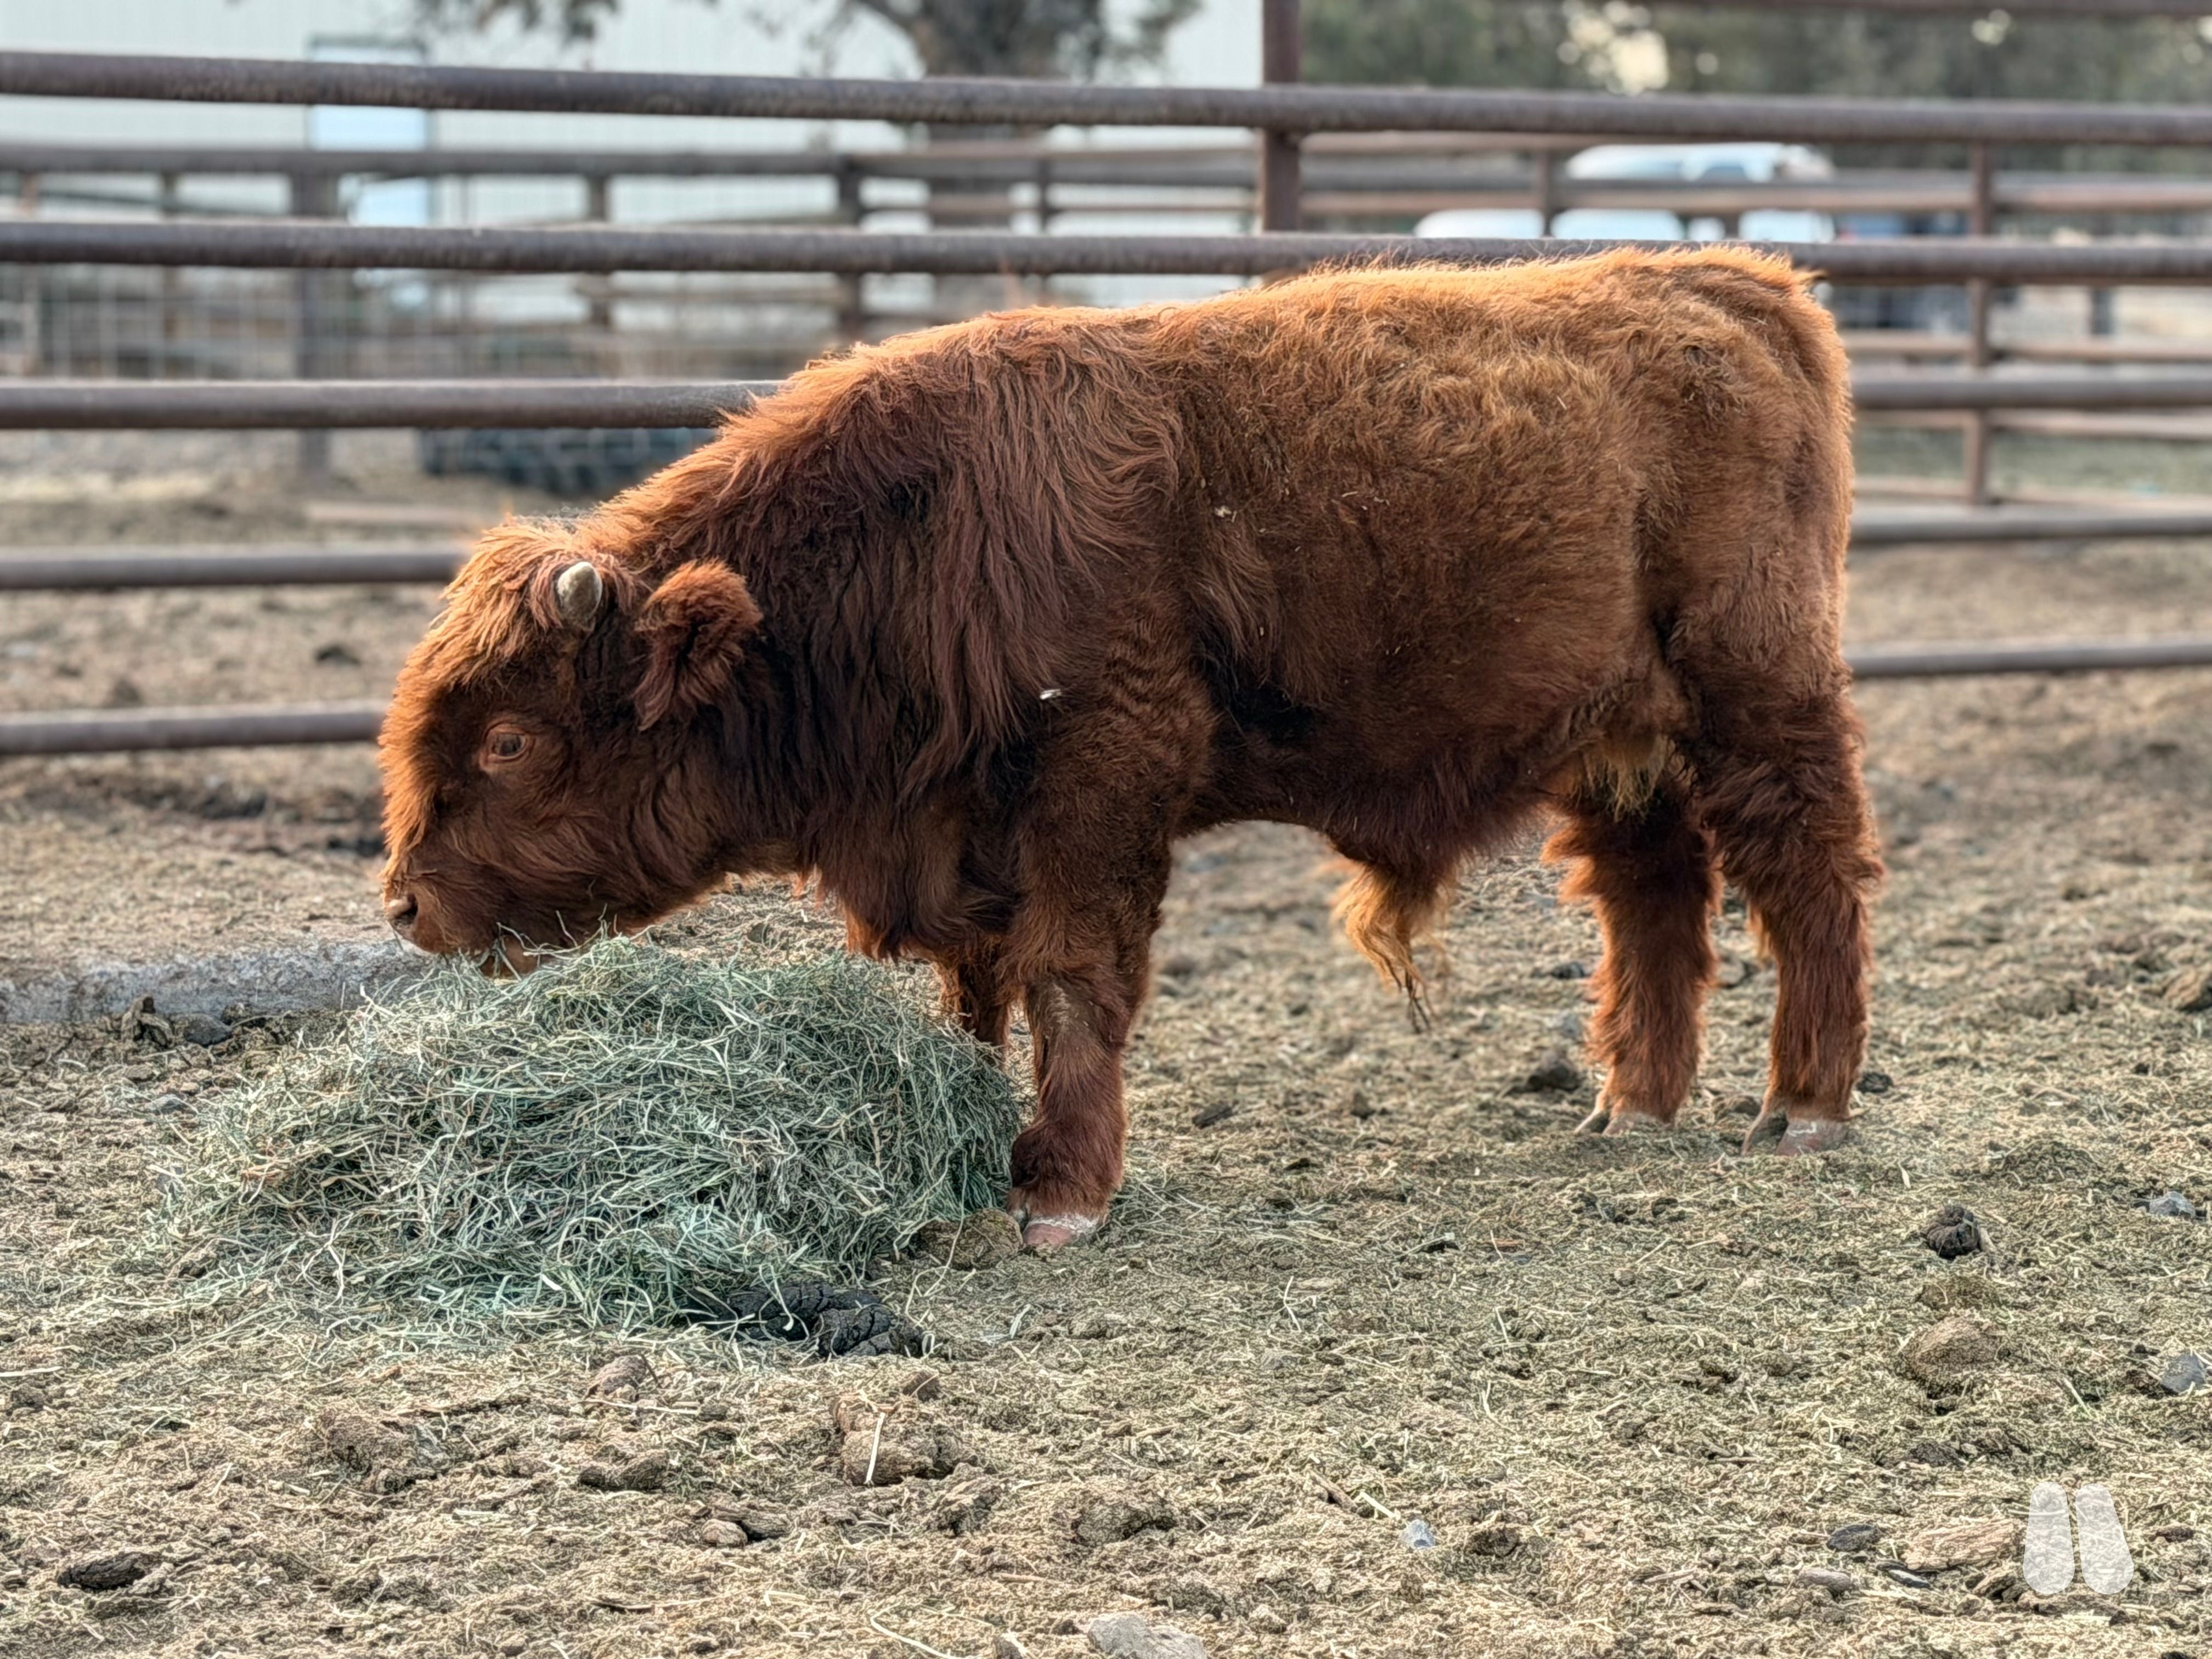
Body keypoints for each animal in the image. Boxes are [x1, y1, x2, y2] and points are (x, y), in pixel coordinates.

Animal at [379, 246, 1882, 1251]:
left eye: (508, 738)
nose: (405, 903)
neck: (923, 532)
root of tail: (1731, 286)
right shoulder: (967, 830)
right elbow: (977, 989)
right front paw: (977, 1132)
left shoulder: (1100, 782)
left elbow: (1070, 979)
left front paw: (1060, 1191)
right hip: (1622, 744)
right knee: (1654, 898)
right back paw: (1633, 1106)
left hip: (1758, 694)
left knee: (1808, 874)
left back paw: (1806, 1105)